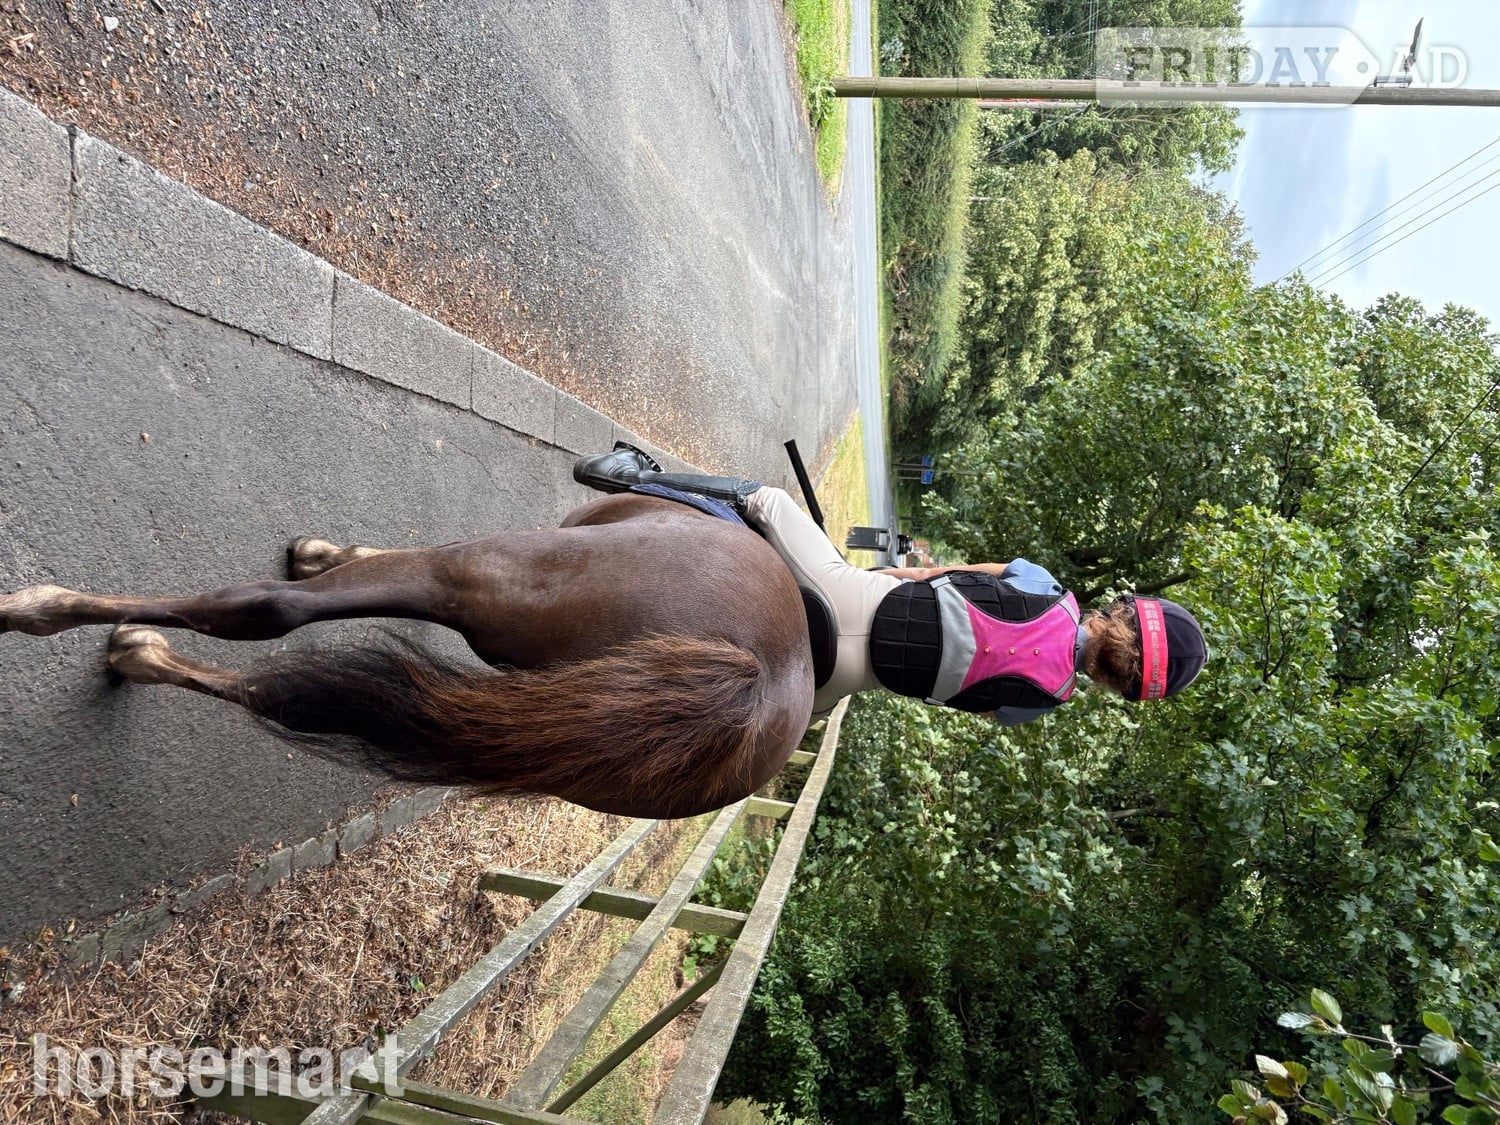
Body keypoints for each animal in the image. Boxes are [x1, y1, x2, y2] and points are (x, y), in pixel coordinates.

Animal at [0, 494, 817, 819]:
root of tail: (757, 677)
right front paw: (322, 551)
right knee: (283, 696)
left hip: (473, 572)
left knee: (263, 612)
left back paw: (61, 618)